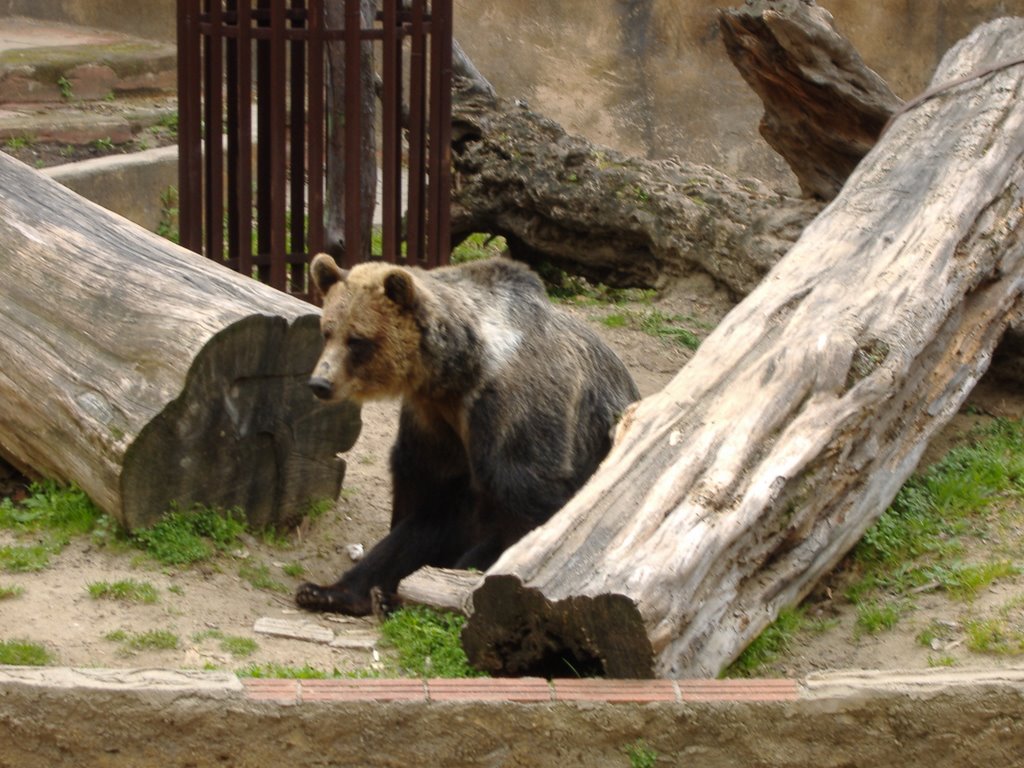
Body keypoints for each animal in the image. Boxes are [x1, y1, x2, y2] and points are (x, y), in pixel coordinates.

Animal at [292, 256, 634, 618]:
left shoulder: (514, 413)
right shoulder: (432, 420)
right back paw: (332, 592)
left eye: (357, 340)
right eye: (328, 331)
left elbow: (530, 506)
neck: (458, 372)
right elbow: (418, 486)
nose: (320, 383)